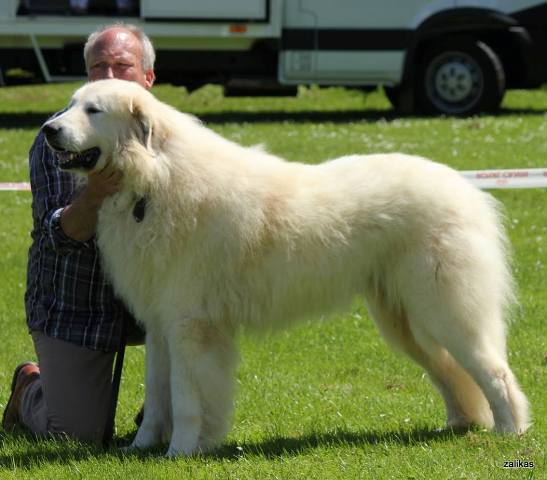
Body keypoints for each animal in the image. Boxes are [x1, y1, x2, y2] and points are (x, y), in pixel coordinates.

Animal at [41, 79, 532, 458]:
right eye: (70, 104)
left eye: (93, 110)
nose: (48, 129)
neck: (151, 180)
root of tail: (465, 189)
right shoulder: (161, 328)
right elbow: (157, 395)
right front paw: (141, 448)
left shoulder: (190, 327)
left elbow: (184, 398)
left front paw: (180, 452)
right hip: (404, 323)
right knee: (449, 370)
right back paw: (458, 424)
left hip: (445, 311)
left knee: (494, 370)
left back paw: (510, 432)